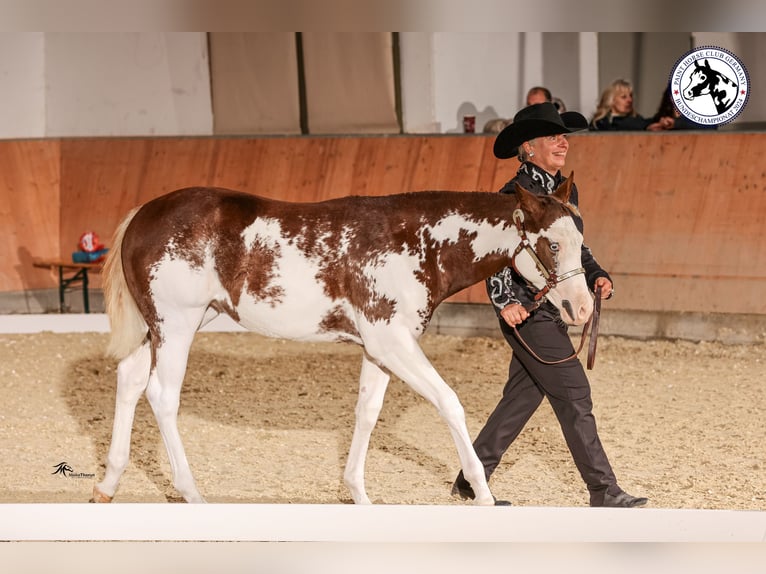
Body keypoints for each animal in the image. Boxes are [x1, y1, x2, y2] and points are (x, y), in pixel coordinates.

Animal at [90, 173, 592, 506]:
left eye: (579, 239)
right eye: (551, 244)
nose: (583, 308)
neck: (417, 242)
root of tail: (143, 214)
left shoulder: (379, 350)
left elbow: (366, 414)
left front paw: (358, 495)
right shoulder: (393, 343)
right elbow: (450, 403)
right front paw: (484, 495)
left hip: (163, 328)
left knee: (128, 381)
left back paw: (108, 485)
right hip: (176, 327)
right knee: (161, 396)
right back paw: (191, 493)